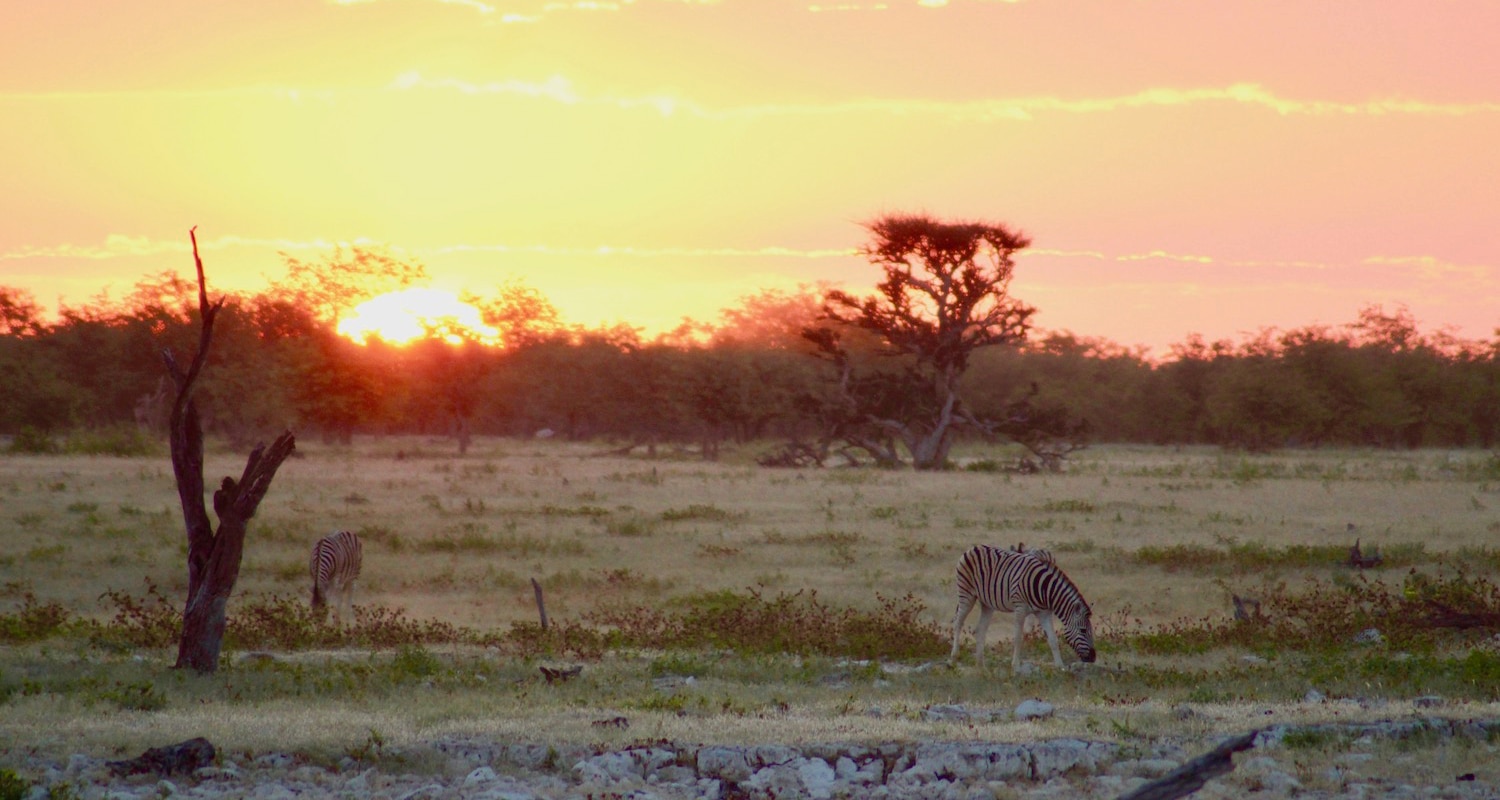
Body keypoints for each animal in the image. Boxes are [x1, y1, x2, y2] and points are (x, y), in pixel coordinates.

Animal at [954, 543, 1098, 666]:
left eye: (1090, 630)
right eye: (1083, 630)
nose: (1093, 657)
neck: (1044, 589)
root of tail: (974, 547)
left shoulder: (1044, 613)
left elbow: (1053, 639)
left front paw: (1060, 666)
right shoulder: (1020, 608)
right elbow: (1018, 637)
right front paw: (1015, 666)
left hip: (987, 604)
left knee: (980, 630)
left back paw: (981, 666)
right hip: (966, 594)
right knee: (958, 623)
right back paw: (954, 656)